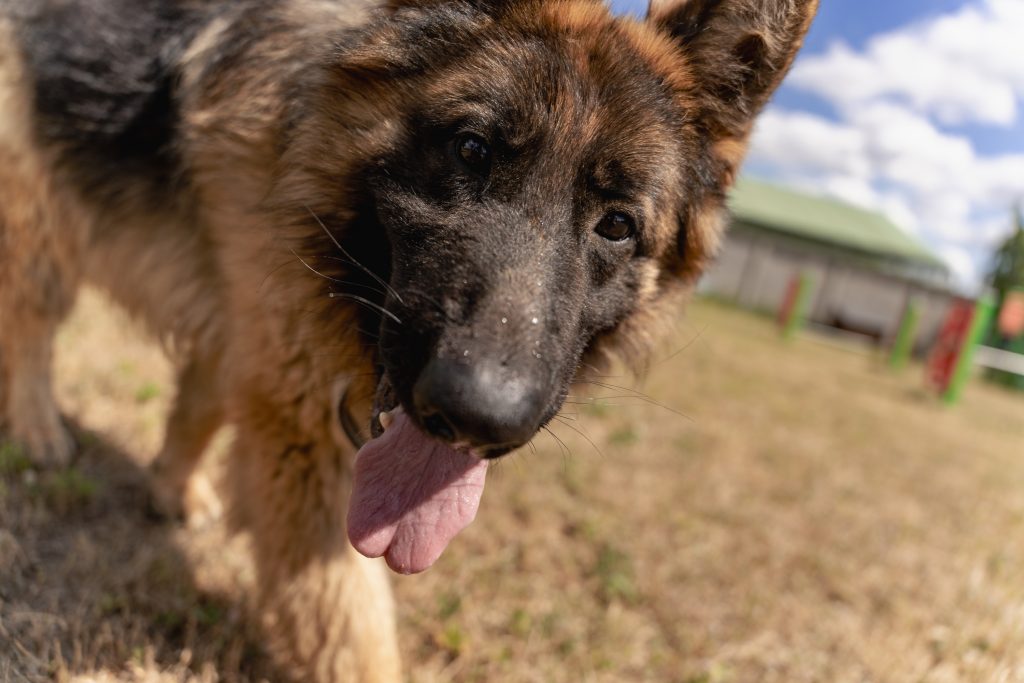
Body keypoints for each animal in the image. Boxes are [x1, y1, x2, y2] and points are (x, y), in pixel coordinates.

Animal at [0, 0, 817, 679]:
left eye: (617, 224)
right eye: (471, 149)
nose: (477, 416)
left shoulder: (253, 325)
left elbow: (202, 395)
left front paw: (173, 486)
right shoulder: (300, 421)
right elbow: (348, 624)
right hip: (39, 231)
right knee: (30, 331)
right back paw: (38, 432)